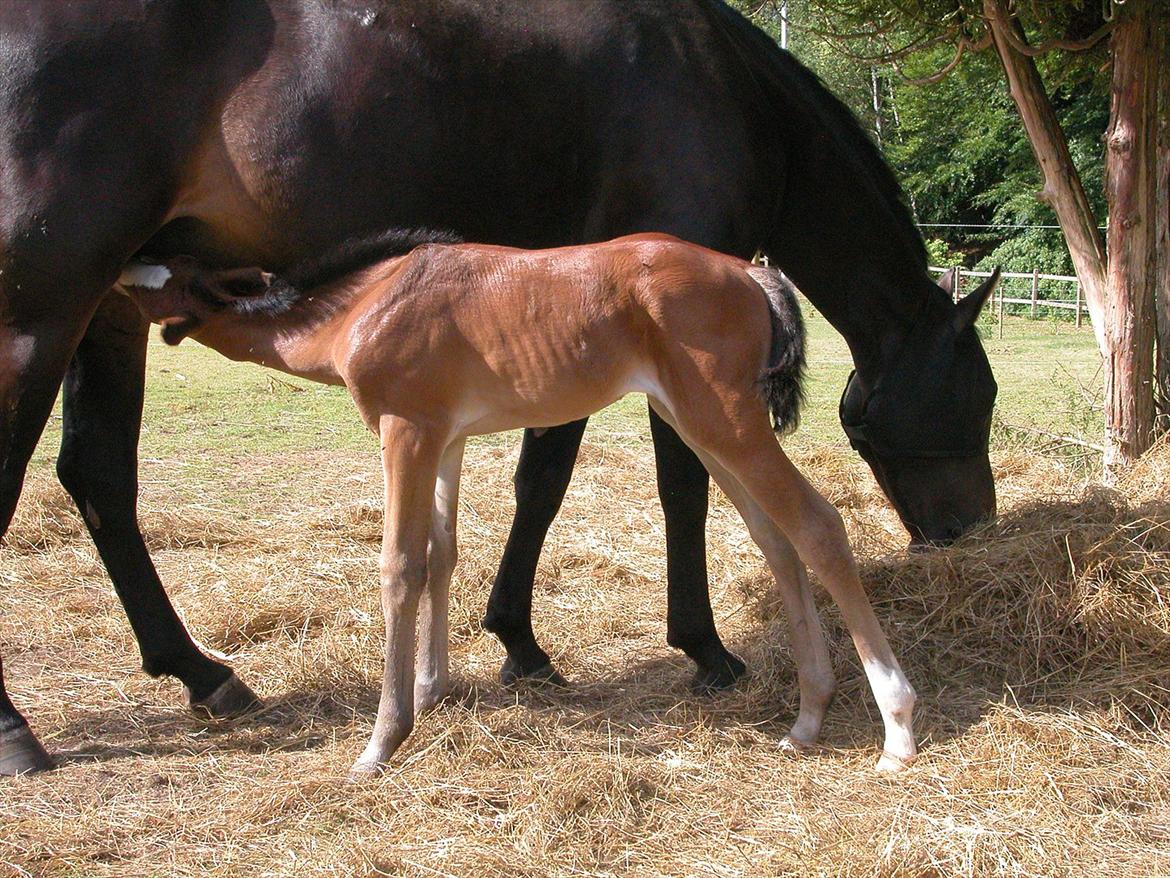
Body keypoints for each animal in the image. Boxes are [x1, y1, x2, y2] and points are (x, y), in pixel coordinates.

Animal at [121, 234, 921, 777]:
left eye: (170, 276)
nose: (117, 273)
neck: (370, 303)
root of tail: (752, 271)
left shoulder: (404, 432)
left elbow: (399, 566)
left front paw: (382, 740)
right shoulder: (444, 439)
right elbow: (441, 555)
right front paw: (430, 692)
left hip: (725, 420)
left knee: (817, 525)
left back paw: (897, 730)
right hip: (701, 424)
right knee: (776, 538)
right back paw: (808, 719)